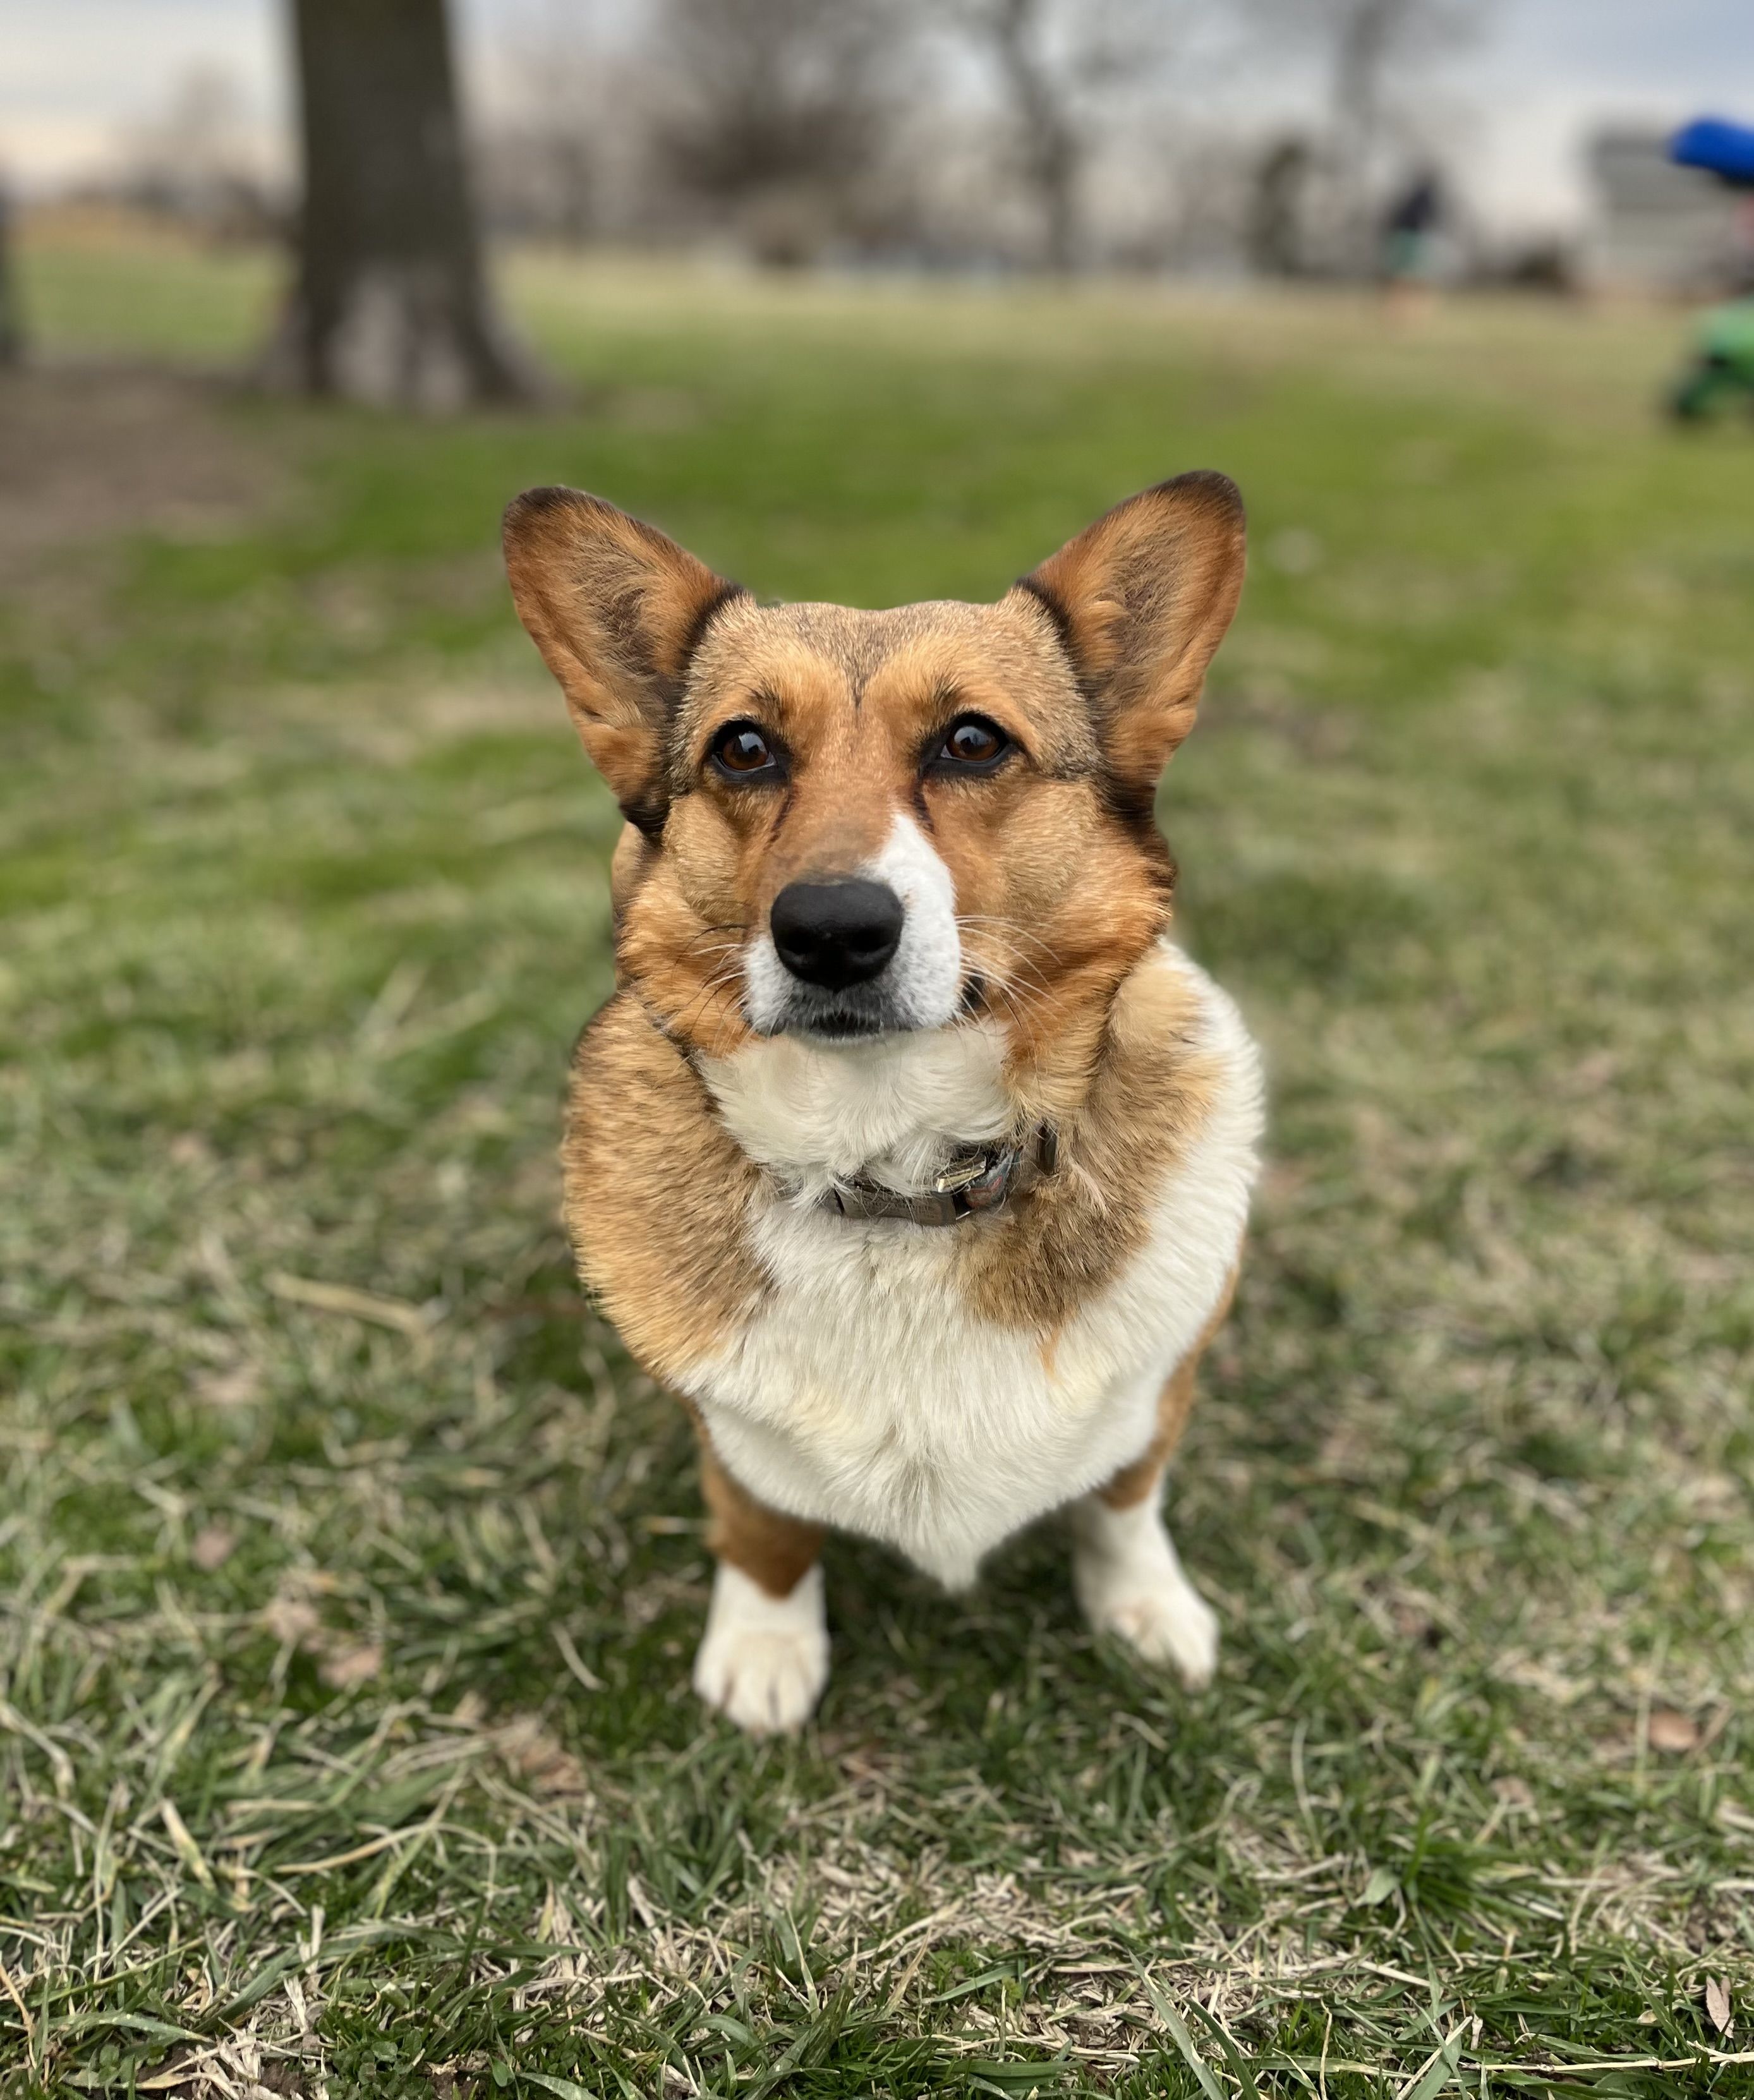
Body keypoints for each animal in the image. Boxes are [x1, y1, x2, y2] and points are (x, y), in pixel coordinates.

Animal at [503, 474, 1262, 1734]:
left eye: (972, 740)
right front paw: (765, 1647)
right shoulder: (729, 1432)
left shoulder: (1157, 1388)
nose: (830, 931)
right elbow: (762, 1525)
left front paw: (1147, 1611)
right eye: (744, 747)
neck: (897, 1170)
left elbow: (1123, 1500)